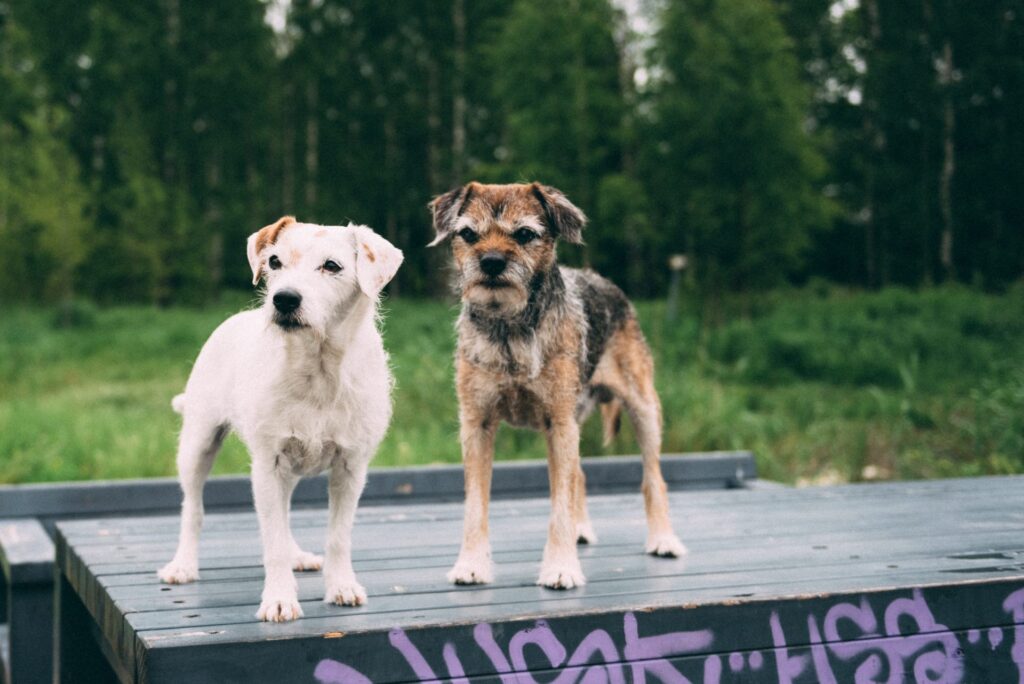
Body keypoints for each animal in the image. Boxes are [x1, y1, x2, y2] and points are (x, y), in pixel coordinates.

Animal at [157, 216, 401, 622]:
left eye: (332, 266)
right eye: (274, 262)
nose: (283, 299)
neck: (317, 370)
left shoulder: (351, 468)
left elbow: (338, 537)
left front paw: (341, 586)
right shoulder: (268, 465)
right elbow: (271, 542)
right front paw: (280, 598)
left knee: (284, 516)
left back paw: (297, 555)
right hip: (198, 445)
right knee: (193, 509)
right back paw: (182, 565)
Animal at [428, 181, 684, 589]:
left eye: (524, 234)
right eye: (468, 234)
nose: (492, 262)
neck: (510, 329)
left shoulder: (558, 424)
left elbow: (559, 503)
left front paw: (561, 567)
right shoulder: (477, 424)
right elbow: (475, 504)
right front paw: (471, 564)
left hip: (643, 408)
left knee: (652, 478)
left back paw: (664, 540)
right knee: (580, 473)